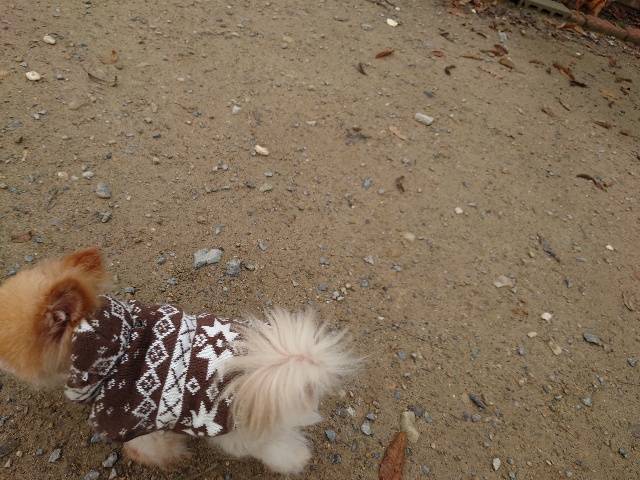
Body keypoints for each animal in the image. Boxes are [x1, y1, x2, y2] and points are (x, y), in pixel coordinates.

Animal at [0, 248, 356, 474]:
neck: (115, 345)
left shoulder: (136, 420)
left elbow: (149, 448)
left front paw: (169, 458)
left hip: (242, 434)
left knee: (278, 450)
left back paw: (295, 461)